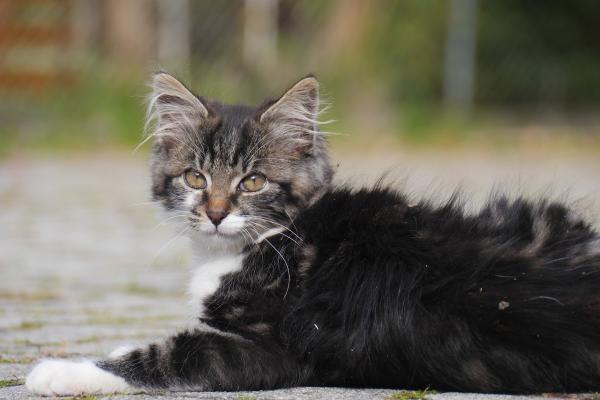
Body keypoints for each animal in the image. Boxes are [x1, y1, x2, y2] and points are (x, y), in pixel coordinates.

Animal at [24, 73, 600, 396]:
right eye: (195, 178)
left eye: (252, 182)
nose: (215, 214)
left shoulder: (275, 349)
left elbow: (171, 354)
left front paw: (62, 372)